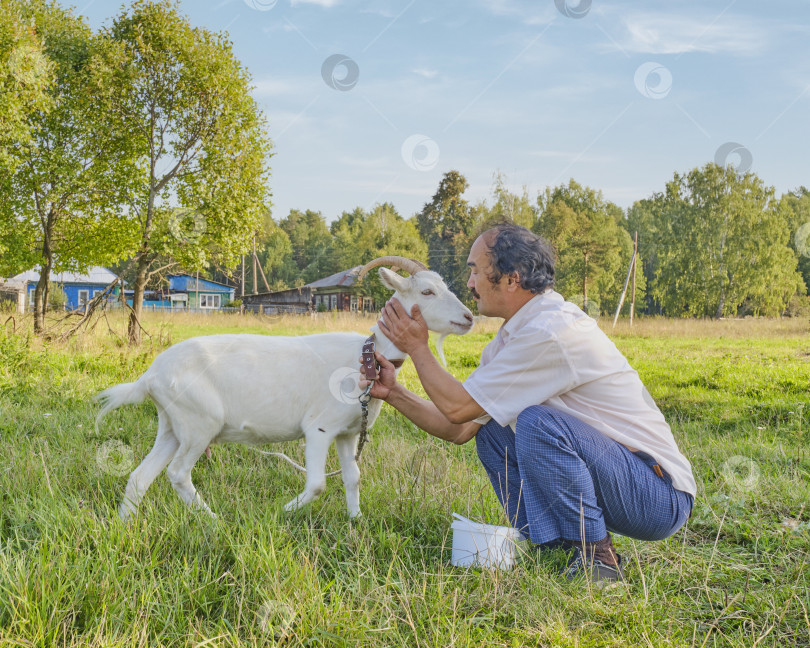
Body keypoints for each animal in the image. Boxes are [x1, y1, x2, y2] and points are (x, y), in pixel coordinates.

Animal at [94, 258, 474, 520]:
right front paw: (282, 513)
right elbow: (317, 484)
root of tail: (150, 375)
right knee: (177, 473)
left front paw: (356, 520)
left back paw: (124, 525)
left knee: (140, 477)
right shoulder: (320, 429)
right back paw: (214, 521)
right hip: (200, 423)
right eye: (426, 291)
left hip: (173, 426)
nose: (469, 317)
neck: (364, 356)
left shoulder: (348, 432)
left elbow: (353, 478)